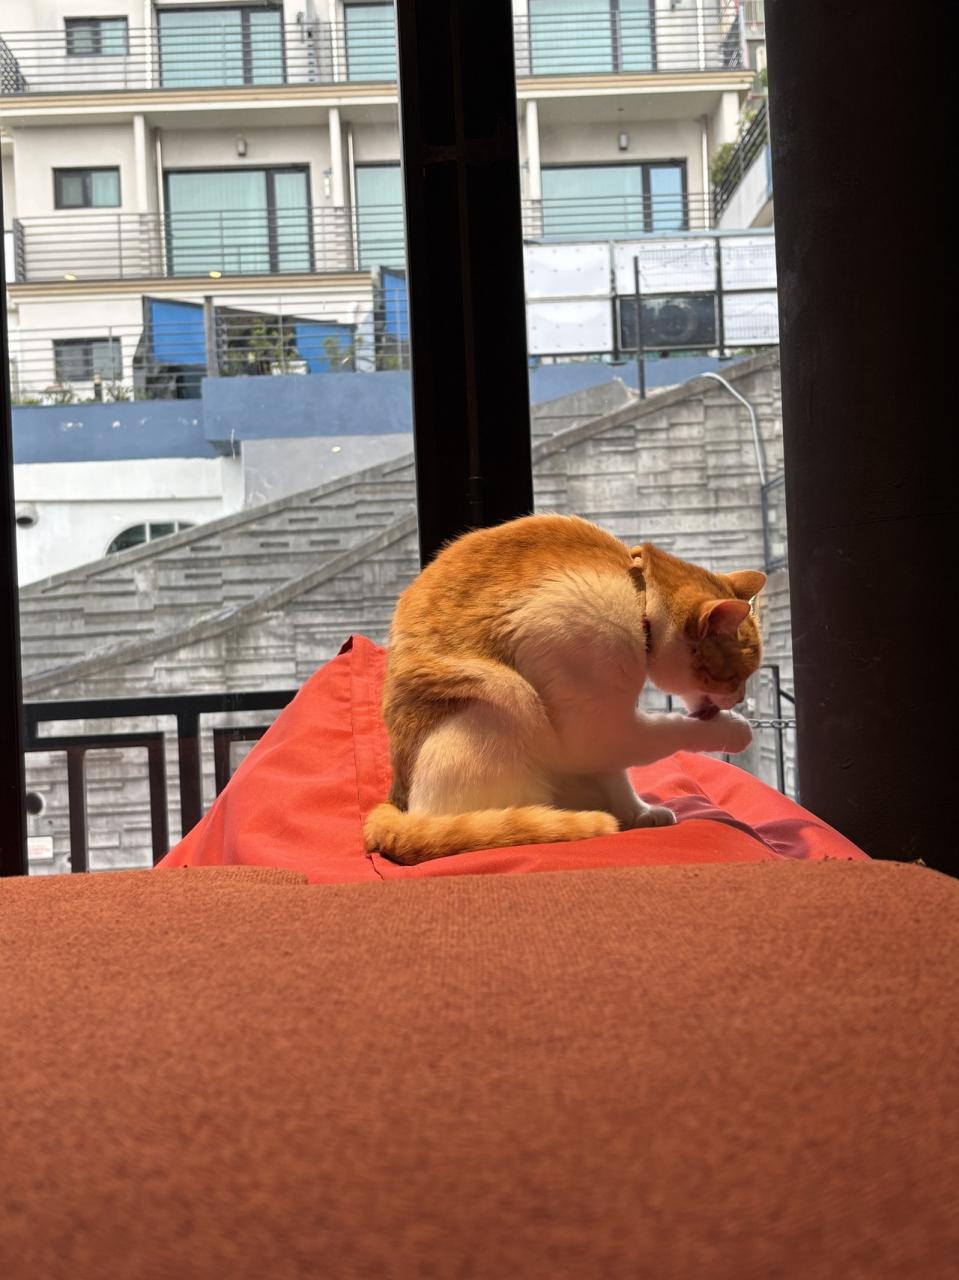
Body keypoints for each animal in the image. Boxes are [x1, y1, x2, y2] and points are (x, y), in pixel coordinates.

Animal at [364, 514, 765, 864]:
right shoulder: (599, 727)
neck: (639, 597)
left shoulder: (607, 722)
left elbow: (617, 774)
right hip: (504, 702)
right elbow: (671, 732)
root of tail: (397, 799)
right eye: (736, 677)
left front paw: (639, 812)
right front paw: (733, 730)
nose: (741, 698)